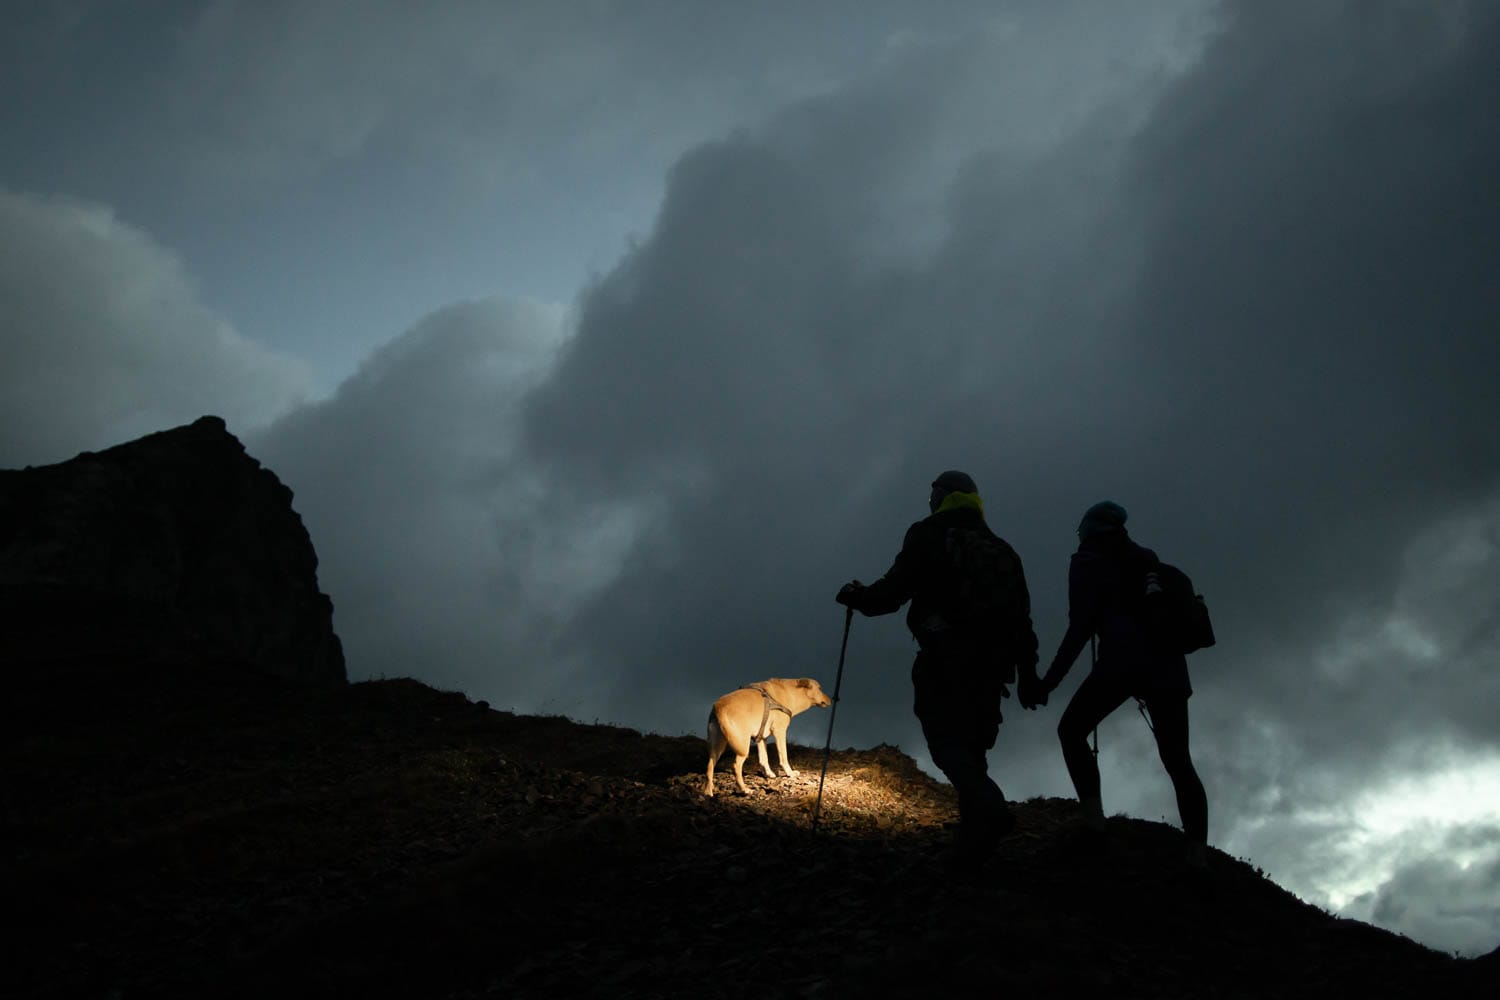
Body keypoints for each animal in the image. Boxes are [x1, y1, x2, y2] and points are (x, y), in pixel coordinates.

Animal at [702, 680, 834, 797]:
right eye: (820, 688)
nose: (831, 700)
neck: (790, 692)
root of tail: (719, 707)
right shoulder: (780, 732)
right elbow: (783, 757)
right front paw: (790, 773)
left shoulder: (761, 738)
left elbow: (764, 758)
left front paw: (769, 773)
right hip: (742, 746)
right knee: (735, 766)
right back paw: (744, 789)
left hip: (717, 746)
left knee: (709, 766)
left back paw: (708, 791)